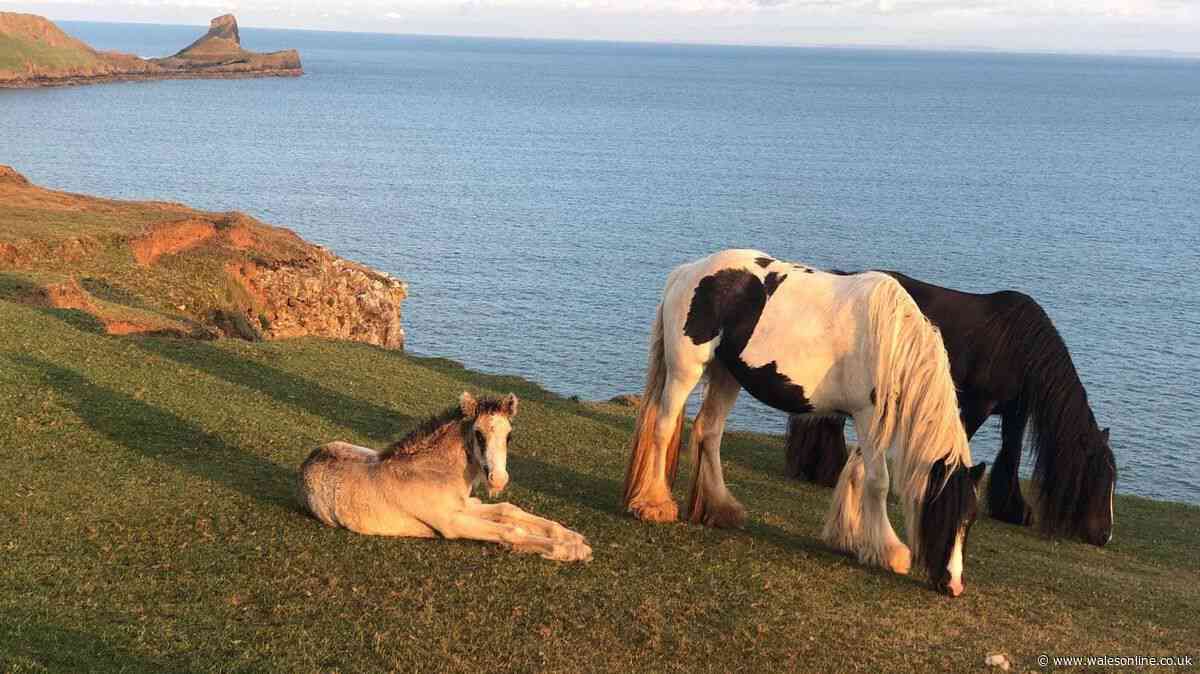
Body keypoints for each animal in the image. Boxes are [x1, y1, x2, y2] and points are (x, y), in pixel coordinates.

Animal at [298, 392, 593, 562]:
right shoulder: (452, 523)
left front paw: (571, 537)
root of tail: (309, 459)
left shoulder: (467, 505)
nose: (498, 479)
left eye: (509, 436)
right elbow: (511, 530)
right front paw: (572, 550)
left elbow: (508, 511)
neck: (433, 473)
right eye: (478, 434)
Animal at [622, 249, 986, 596]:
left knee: (708, 433)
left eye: (970, 520)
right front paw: (889, 552)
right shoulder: (867, 416)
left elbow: (856, 474)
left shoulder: (871, 423)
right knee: (664, 427)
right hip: (685, 372)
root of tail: (688, 271)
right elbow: (878, 482)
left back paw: (721, 509)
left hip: (727, 376)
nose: (953, 586)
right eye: (945, 512)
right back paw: (654, 505)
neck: (893, 342)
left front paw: (848, 538)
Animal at [784, 271, 1116, 546]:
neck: (1019, 348)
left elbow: (1011, 454)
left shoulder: (1014, 413)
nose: (1104, 535)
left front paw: (1013, 510)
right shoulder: (979, 405)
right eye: (1097, 478)